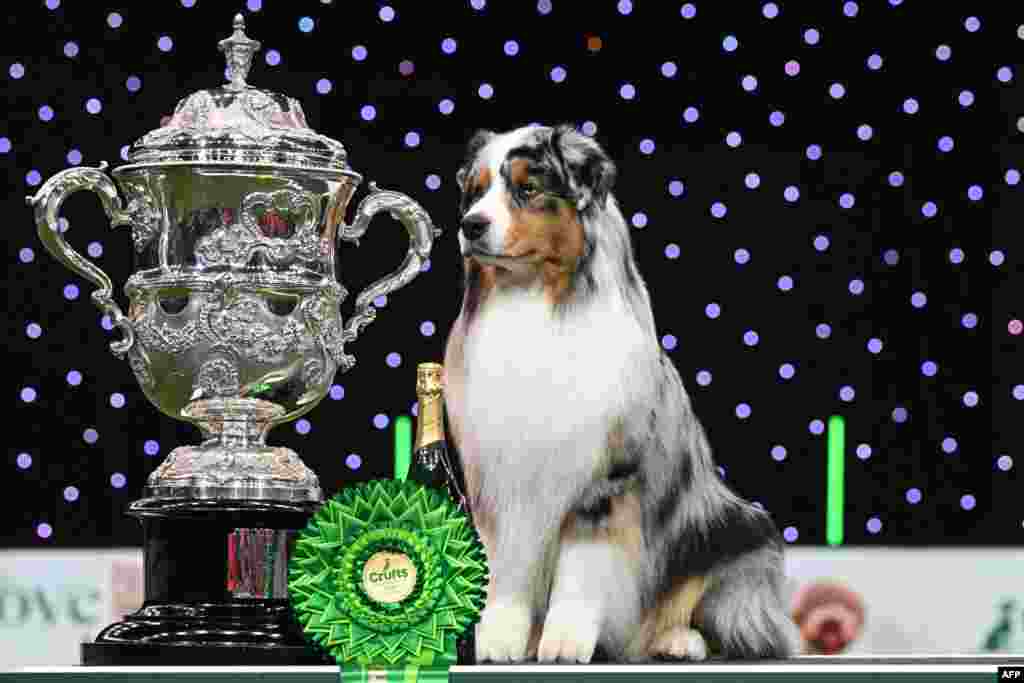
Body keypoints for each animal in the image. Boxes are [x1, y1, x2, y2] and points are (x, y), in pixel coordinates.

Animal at [440, 124, 798, 663]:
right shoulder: (497, 476)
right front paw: (499, 638)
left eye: (528, 188)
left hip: (742, 534)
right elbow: (507, 567)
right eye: (476, 191)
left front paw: (564, 643)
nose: (470, 225)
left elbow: (581, 567)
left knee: (734, 622)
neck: (533, 298)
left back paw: (677, 640)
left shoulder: (605, 476)